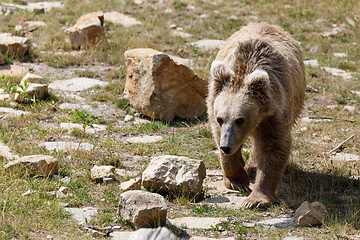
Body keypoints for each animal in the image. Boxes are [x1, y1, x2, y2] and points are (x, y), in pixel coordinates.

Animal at [207, 23, 306, 209]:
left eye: (240, 119)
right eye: (220, 118)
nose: (226, 146)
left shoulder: (275, 114)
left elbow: (273, 148)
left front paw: (255, 199)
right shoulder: (214, 106)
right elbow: (219, 139)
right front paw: (237, 181)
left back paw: (253, 166)